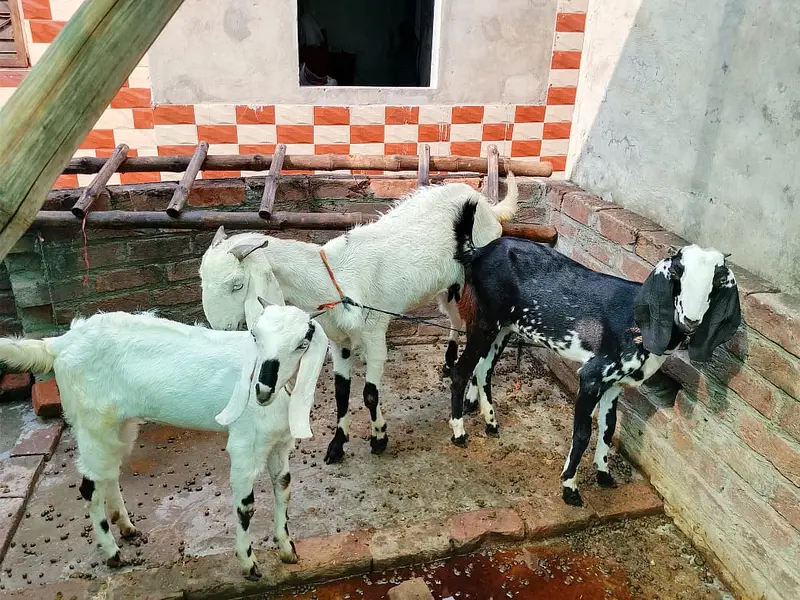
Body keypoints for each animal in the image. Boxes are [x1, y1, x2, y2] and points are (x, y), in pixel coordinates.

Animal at [0, 301, 329, 580]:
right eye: (255, 336)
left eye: (302, 344)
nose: (261, 389)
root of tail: (60, 344)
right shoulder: (245, 443)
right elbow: (245, 507)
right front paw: (249, 564)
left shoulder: (279, 443)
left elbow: (283, 489)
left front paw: (288, 550)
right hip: (92, 421)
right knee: (89, 486)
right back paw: (113, 553)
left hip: (119, 423)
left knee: (109, 471)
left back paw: (126, 526)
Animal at [199, 177, 519, 464]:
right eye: (201, 279)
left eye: (237, 284)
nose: (221, 328)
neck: (332, 277)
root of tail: (489, 206)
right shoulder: (338, 341)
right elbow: (342, 393)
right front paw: (337, 445)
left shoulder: (375, 333)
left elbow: (369, 393)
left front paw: (379, 438)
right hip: (448, 288)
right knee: (455, 320)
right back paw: (450, 363)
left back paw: (473, 398)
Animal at [451, 200, 742, 506]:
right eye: (677, 273)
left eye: (717, 280)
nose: (690, 320)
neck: (636, 320)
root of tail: (477, 252)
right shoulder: (592, 376)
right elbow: (582, 433)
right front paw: (570, 487)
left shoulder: (615, 384)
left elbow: (608, 428)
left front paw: (604, 475)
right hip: (484, 322)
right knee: (461, 370)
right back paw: (459, 431)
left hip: (504, 327)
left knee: (484, 369)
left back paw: (491, 422)